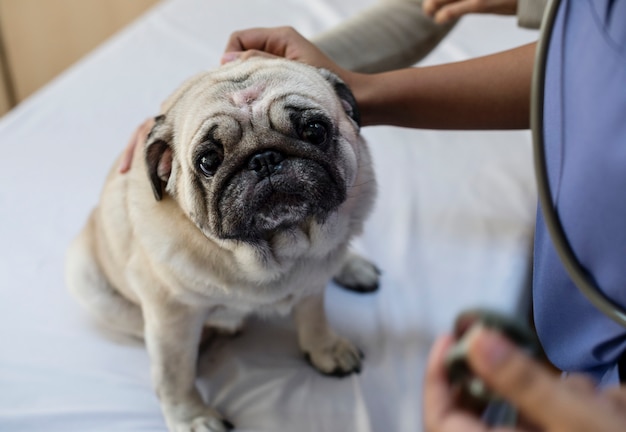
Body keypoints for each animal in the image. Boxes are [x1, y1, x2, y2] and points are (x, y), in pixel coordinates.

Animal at [64, 58, 376, 432]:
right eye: (208, 161)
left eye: (314, 131)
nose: (264, 158)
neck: (276, 250)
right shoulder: (171, 317)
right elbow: (173, 375)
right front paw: (192, 417)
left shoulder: (311, 282)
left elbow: (313, 316)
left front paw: (325, 348)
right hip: (85, 277)